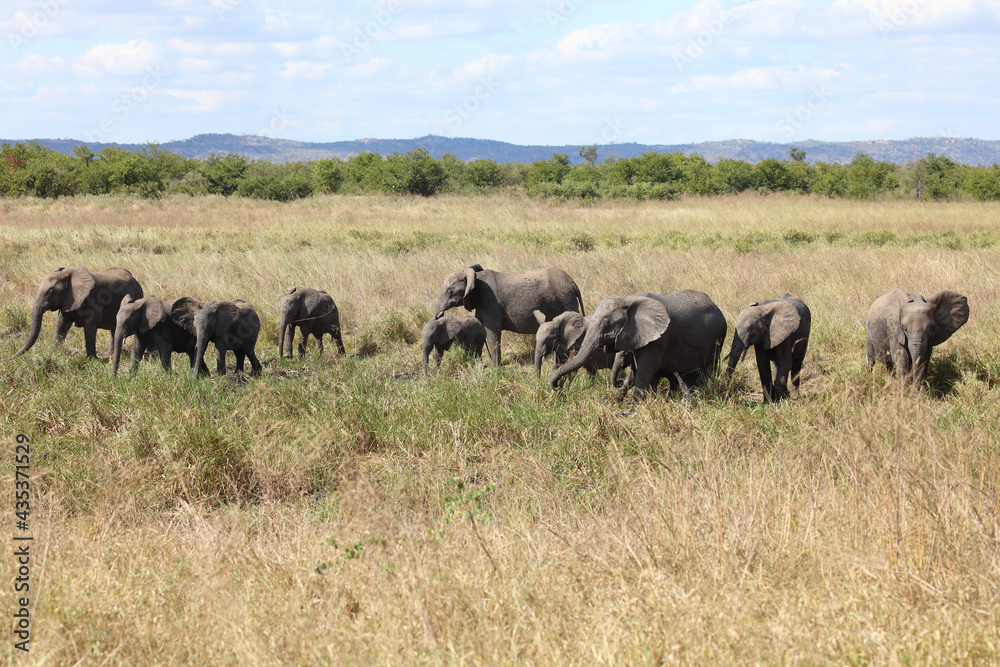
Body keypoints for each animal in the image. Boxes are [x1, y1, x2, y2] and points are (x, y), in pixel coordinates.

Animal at [15, 266, 143, 359]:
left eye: (53, 291)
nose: (12, 358)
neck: (67, 274)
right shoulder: (67, 301)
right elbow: (60, 324)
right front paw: (56, 353)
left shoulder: (93, 301)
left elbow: (90, 329)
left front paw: (92, 360)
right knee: (114, 329)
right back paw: (110, 355)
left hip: (137, 295)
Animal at [432, 264, 585, 366]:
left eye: (450, 291)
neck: (474, 277)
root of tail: (573, 283)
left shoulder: (490, 302)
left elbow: (492, 333)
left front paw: (495, 369)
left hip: (566, 300)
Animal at [550, 290, 727, 403]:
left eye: (607, 322)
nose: (556, 387)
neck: (626, 300)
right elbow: (640, 373)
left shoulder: (659, 338)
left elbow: (643, 373)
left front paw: (630, 414)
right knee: (686, 377)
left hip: (716, 340)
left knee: (704, 373)